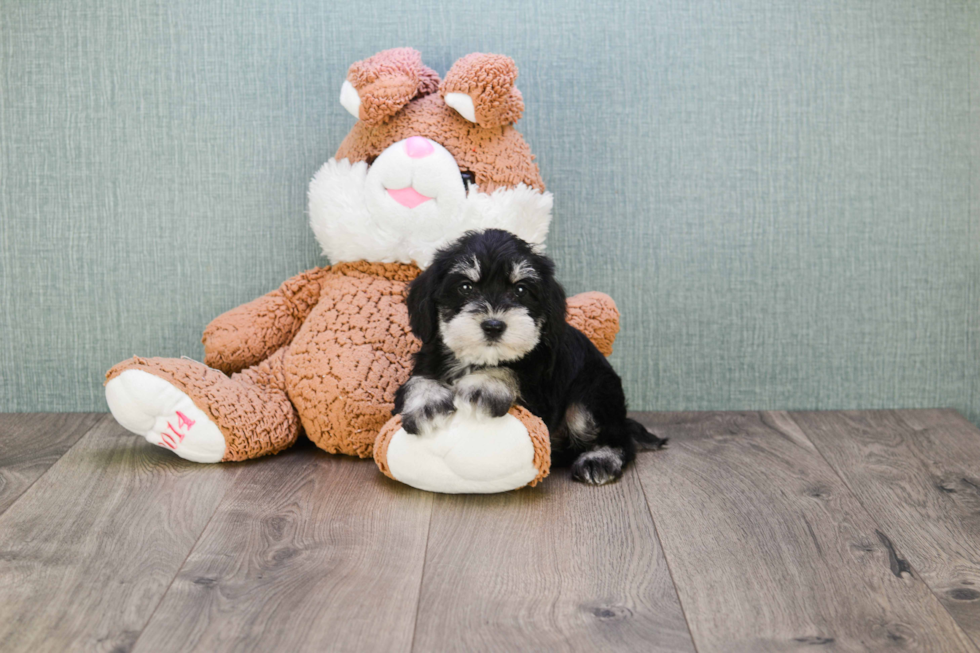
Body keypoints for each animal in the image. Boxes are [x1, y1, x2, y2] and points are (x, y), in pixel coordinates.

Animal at [392, 229, 668, 484]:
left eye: (521, 289)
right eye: (465, 287)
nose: (493, 326)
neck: (480, 359)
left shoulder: (540, 398)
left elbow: (512, 370)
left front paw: (485, 383)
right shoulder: (427, 359)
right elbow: (416, 380)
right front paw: (427, 402)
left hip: (594, 395)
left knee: (618, 436)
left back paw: (599, 459)